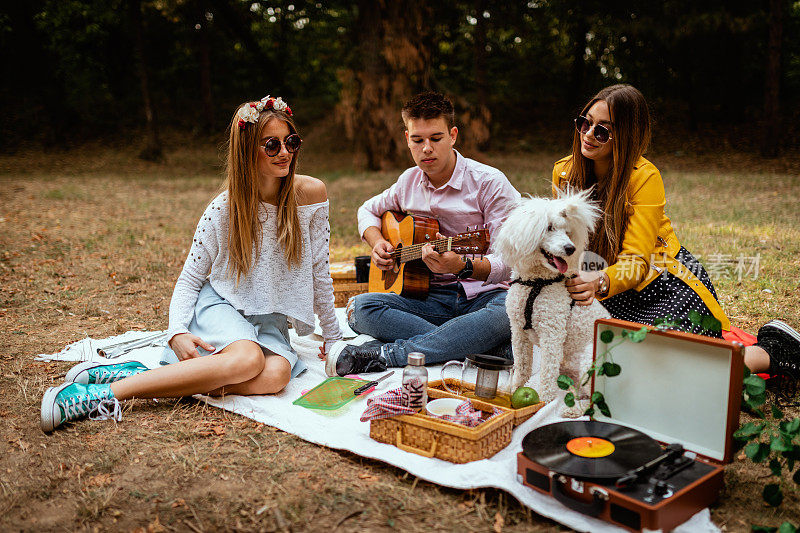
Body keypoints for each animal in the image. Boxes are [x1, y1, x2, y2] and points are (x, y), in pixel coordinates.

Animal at [494, 189, 612, 406]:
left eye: (568, 232)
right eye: (549, 228)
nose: (570, 248)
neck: (537, 283)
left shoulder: (552, 334)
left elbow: (547, 375)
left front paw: (544, 401)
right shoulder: (518, 332)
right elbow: (522, 367)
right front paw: (513, 391)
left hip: (589, 359)